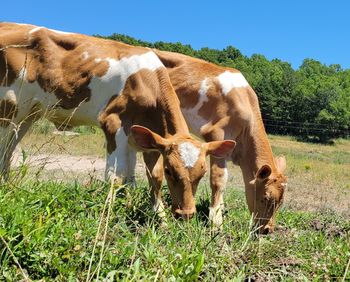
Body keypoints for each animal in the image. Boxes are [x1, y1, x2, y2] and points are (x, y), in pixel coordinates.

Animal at [0, 23, 235, 219]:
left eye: (202, 173)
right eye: (170, 169)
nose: (186, 213)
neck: (146, 80)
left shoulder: (138, 136)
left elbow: (136, 179)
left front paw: (153, 217)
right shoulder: (113, 123)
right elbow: (115, 176)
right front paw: (109, 214)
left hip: (27, 114)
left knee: (8, 152)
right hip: (9, 106)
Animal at [148, 49, 288, 232]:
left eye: (281, 202)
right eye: (266, 197)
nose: (267, 230)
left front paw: (220, 211)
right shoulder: (215, 133)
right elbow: (219, 179)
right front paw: (215, 222)